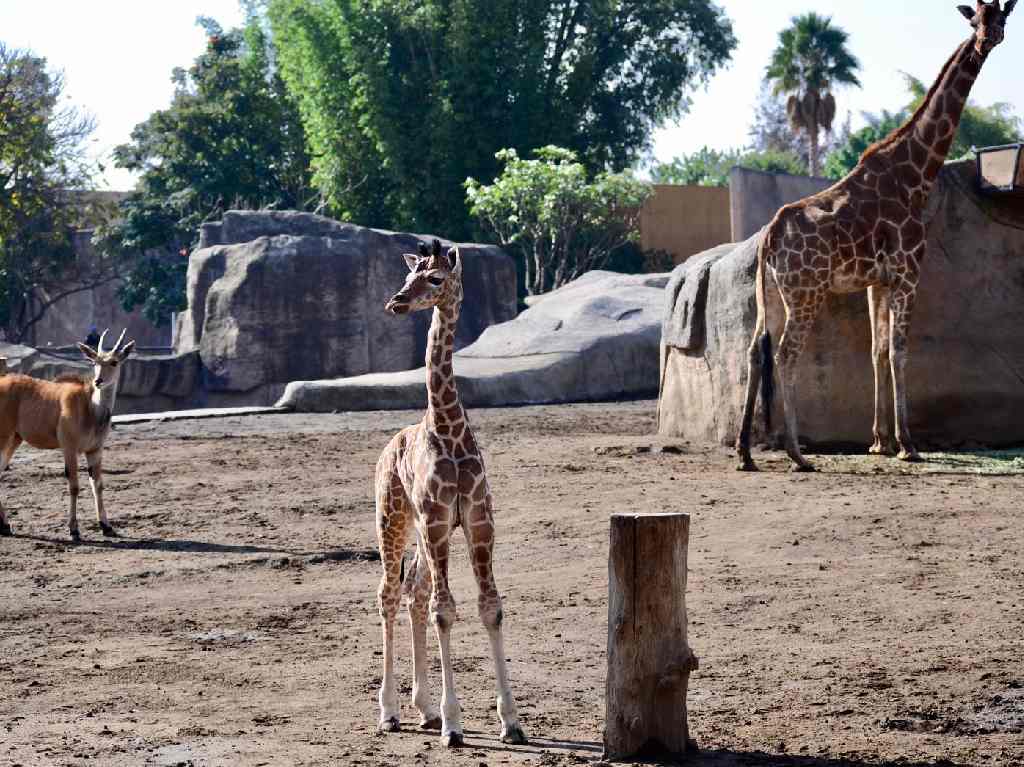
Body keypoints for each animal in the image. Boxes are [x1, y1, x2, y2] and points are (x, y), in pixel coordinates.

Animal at [0, 327, 136, 536]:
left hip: (14, 439)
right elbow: (74, 486)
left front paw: (106, 526)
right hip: (4, 437)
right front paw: (74, 529)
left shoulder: (95, 450)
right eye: (95, 362)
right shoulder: (69, 448)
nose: (98, 381)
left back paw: (5, 526)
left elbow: (98, 485)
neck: (91, 408)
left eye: (114, 362)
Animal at [374, 236, 528, 745]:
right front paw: (454, 723)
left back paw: (422, 709)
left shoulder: (478, 523)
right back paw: (390, 711)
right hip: (394, 519)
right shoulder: (439, 522)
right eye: (408, 275)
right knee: (389, 592)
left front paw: (510, 721)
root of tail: (388, 447)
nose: (396, 302)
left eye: (435, 278)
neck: (450, 432)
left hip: (422, 535)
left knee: (414, 592)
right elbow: (446, 610)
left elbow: (489, 608)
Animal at [737, 1, 1015, 473]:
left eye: (1002, 17)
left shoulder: (876, 282)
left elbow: (877, 350)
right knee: (785, 353)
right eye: (975, 17)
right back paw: (796, 453)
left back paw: (744, 453)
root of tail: (769, 237)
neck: (917, 174)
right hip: (806, 293)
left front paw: (879, 441)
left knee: (757, 350)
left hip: (771, 293)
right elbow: (900, 351)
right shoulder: (908, 273)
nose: (987, 40)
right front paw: (908, 444)